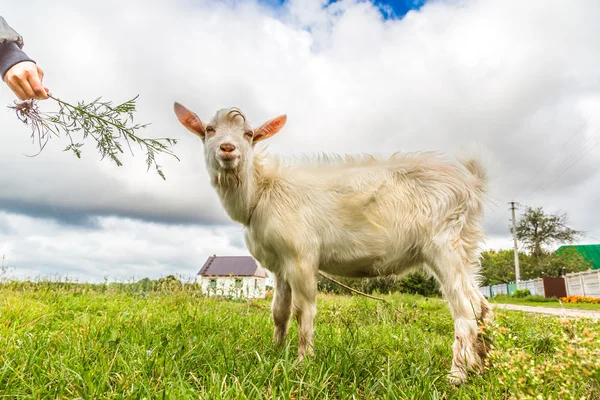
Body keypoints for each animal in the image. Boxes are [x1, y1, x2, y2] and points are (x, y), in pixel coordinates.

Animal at [173, 104, 492, 384]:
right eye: (210, 129)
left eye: (249, 133)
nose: (228, 148)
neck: (263, 191)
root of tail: (472, 184)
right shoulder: (279, 265)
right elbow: (279, 311)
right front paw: (274, 353)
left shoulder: (301, 256)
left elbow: (303, 310)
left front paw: (303, 363)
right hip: (464, 245)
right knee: (481, 304)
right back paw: (481, 366)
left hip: (444, 243)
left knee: (465, 310)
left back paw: (457, 376)